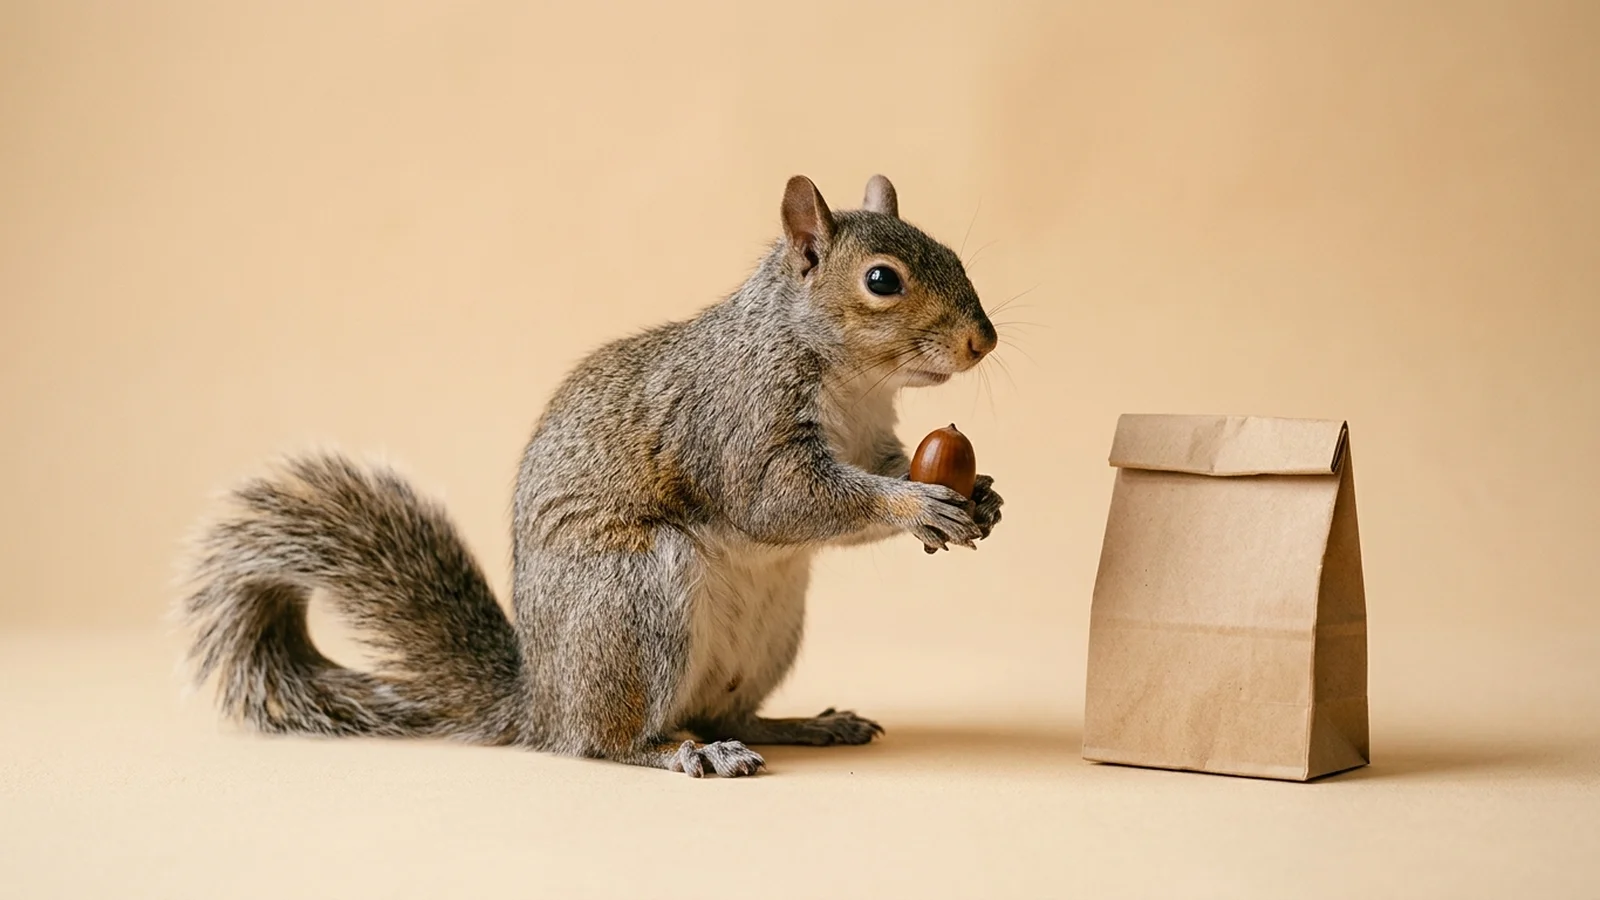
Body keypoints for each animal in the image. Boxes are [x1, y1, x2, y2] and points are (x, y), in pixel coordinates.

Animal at [176, 174, 1004, 778]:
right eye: (881, 280)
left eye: (952, 254)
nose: (983, 341)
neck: (852, 381)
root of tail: (541, 703)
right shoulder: (738, 425)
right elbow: (784, 503)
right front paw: (915, 506)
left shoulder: (871, 436)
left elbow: (880, 469)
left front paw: (983, 497)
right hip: (635, 601)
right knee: (608, 742)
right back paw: (686, 752)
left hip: (769, 630)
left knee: (730, 711)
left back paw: (803, 724)